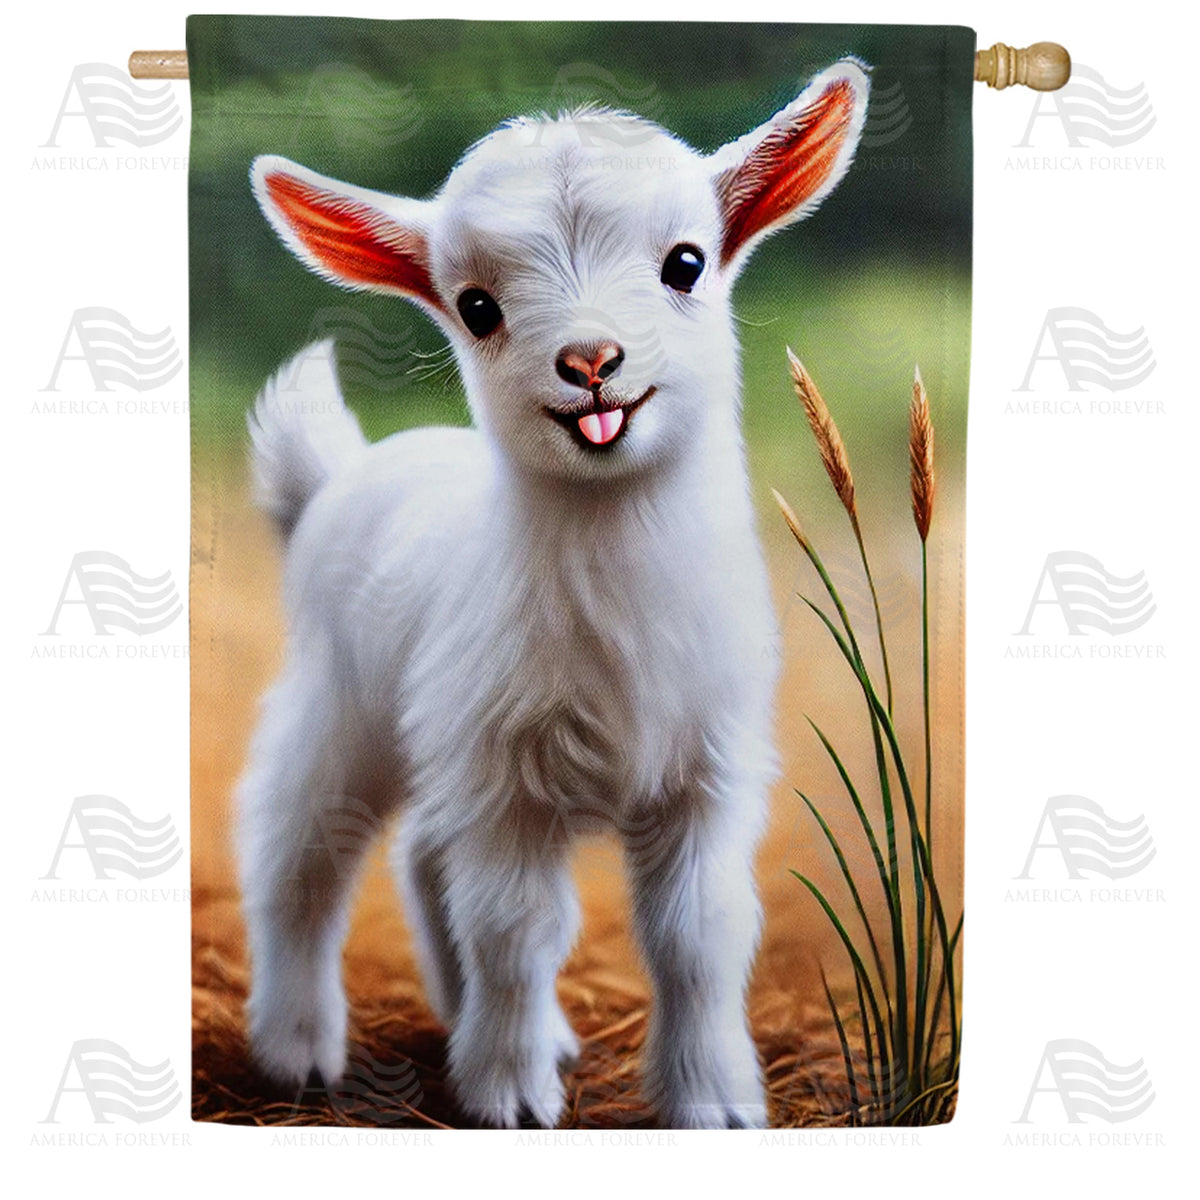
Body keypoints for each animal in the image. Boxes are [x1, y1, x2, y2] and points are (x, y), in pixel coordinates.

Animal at [237, 59, 869, 1129]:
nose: (590, 362)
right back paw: (298, 1047)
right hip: (342, 703)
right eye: (477, 306)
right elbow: (518, 932)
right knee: (300, 851)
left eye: (687, 263)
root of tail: (336, 475)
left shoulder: (707, 770)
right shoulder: (506, 779)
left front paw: (713, 1101)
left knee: (423, 858)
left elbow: (700, 939)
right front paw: (511, 1095)